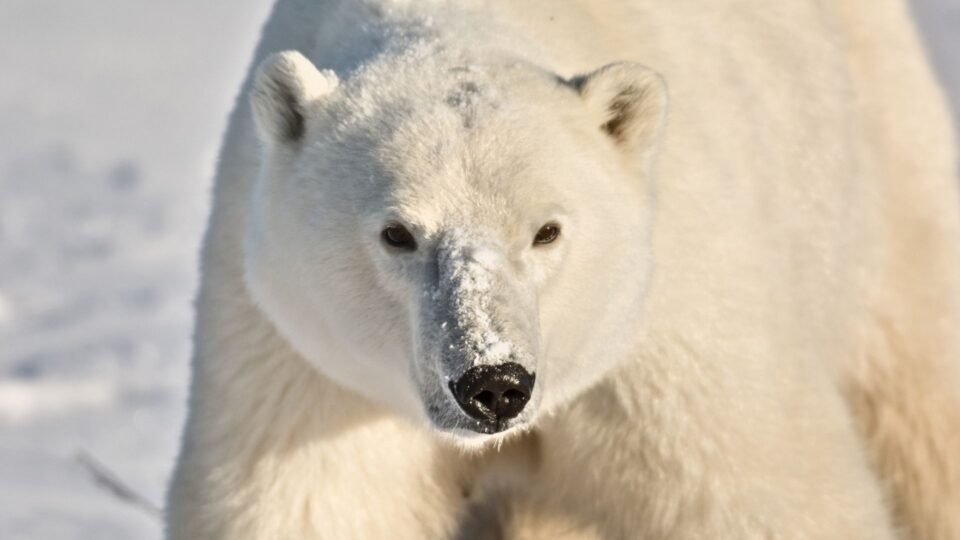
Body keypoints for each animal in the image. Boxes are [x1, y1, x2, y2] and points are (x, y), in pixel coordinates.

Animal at [166, 0, 960, 538]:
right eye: (397, 234)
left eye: (546, 231)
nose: (492, 384)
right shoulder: (304, 364)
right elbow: (306, 503)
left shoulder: (670, 336)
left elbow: (759, 494)